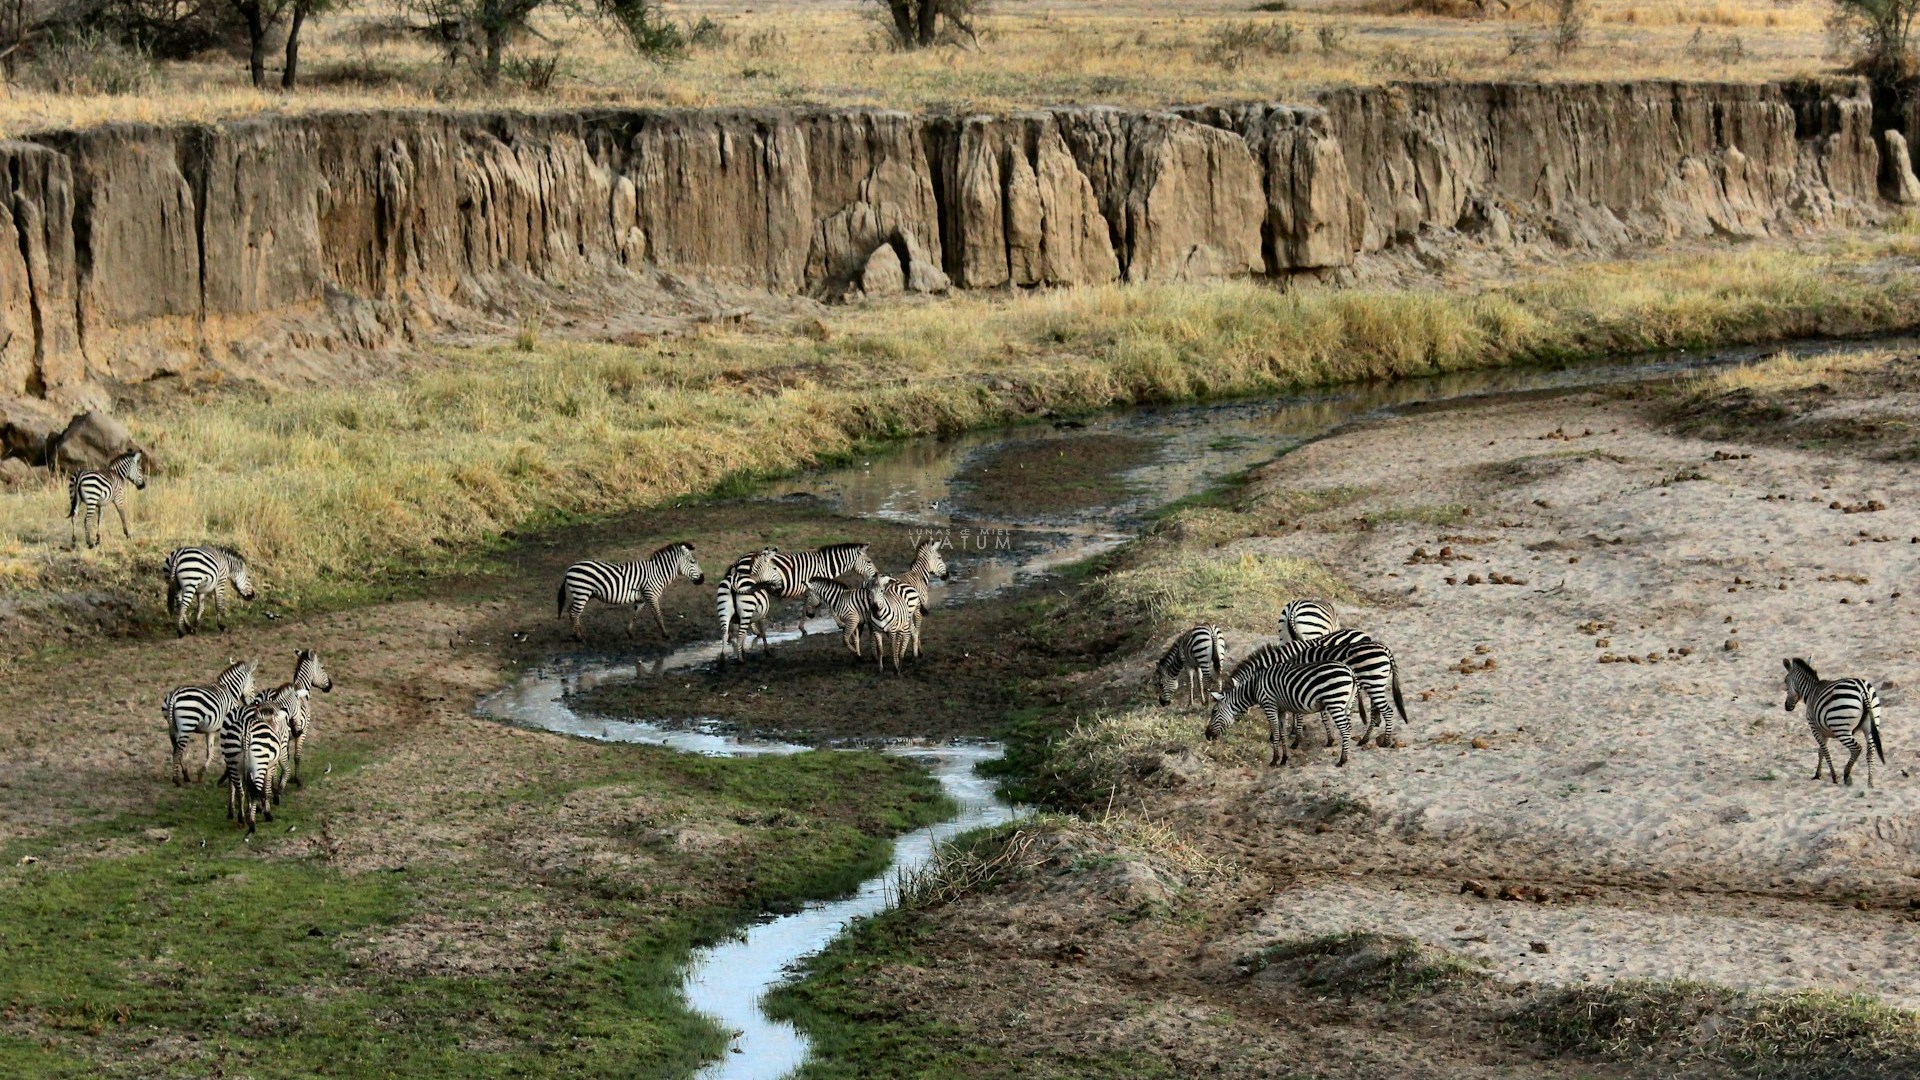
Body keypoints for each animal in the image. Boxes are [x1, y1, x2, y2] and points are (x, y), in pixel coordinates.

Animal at [255, 641, 334, 787]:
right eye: (322, 667)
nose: (330, 686)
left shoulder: (287, 737)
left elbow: (287, 756)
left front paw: (285, 778)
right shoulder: (303, 731)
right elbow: (297, 756)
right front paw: (297, 780)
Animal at [560, 538, 710, 638]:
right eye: (693, 562)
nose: (702, 579)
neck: (658, 573)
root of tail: (570, 568)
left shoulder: (642, 598)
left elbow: (636, 615)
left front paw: (630, 632)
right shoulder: (651, 595)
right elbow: (658, 615)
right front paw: (665, 634)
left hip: (582, 594)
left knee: (571, 610)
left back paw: (575, 633)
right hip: (582, 592)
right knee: (574, 612)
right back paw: (578, 637)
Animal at [1205, 657, 1359, 764]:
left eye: (1214, 711)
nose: (1207, 736)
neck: (1254, 688)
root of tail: (1350, 671)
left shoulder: (1269, 706)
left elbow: (1275, 732)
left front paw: (1274, 760)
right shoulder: (1281, 710)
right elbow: (1283, 733)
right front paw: (1284, 758)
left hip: (1334, 702)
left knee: (1345, 729)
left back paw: (1342, 760)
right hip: (1347, 704)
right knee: (1349, 727)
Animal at [1228, 626, 1413, 745]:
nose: (1235, 724)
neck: (1285, 661)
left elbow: (1297, 711)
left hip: (1373, 681)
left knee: (1385, 709)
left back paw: (1383, 740)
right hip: (1375, 682)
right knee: (1376, 708)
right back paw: (1368, 735)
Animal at [1781, 653, 1889, 787]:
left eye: (1785, 681)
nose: (1787, 707)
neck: (1810, 691)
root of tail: (1863, 689)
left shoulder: (1815, 728)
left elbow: (1825, 751)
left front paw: (1833, 777)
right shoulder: (1824, 731)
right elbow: (1820, 752)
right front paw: (1817, 774)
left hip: (1841, 728)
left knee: (1856, 748)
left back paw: (1847, 775)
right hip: (1871, 723)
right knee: (1871, 751)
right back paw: (1870, 783)